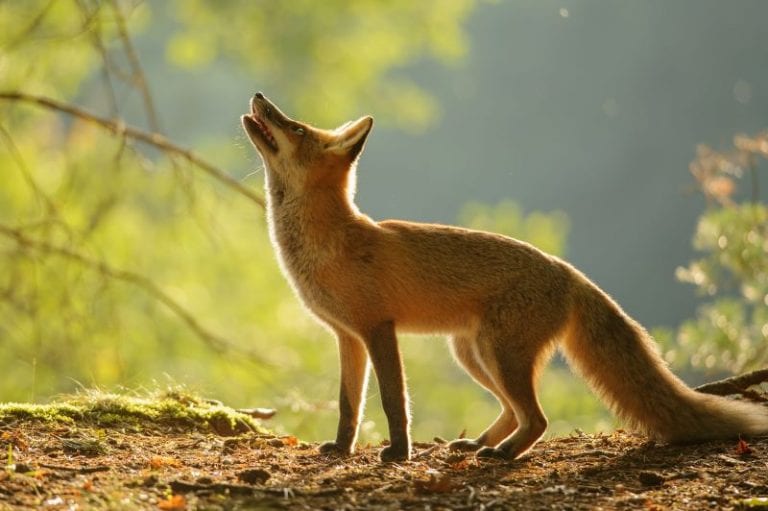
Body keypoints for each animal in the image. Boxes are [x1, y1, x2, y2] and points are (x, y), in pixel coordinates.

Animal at [241, 92, 768, 462]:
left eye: (294, 127)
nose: (259, 96)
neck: (330, 244)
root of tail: (569, 271)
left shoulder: (378, 329)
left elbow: (393, 400)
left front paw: (398, 454)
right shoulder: (348, 337)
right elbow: (349, 405)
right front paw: (343, 449)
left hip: (498, 355)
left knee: (537, 419)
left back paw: (504, 454)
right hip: (473, 354)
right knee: (514, 411)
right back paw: (479, 445)